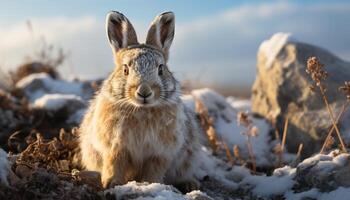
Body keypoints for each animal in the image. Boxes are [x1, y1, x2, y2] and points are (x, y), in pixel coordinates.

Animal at [77, 10, 201, 192]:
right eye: (125, 69)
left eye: (161, 69)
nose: (144, 92)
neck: (141, 109)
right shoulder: (115, 147)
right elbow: (114, 164)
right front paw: (110, 183)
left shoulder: (159, 153)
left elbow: (154, 171)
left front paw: (150, 184)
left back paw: (190, 183)